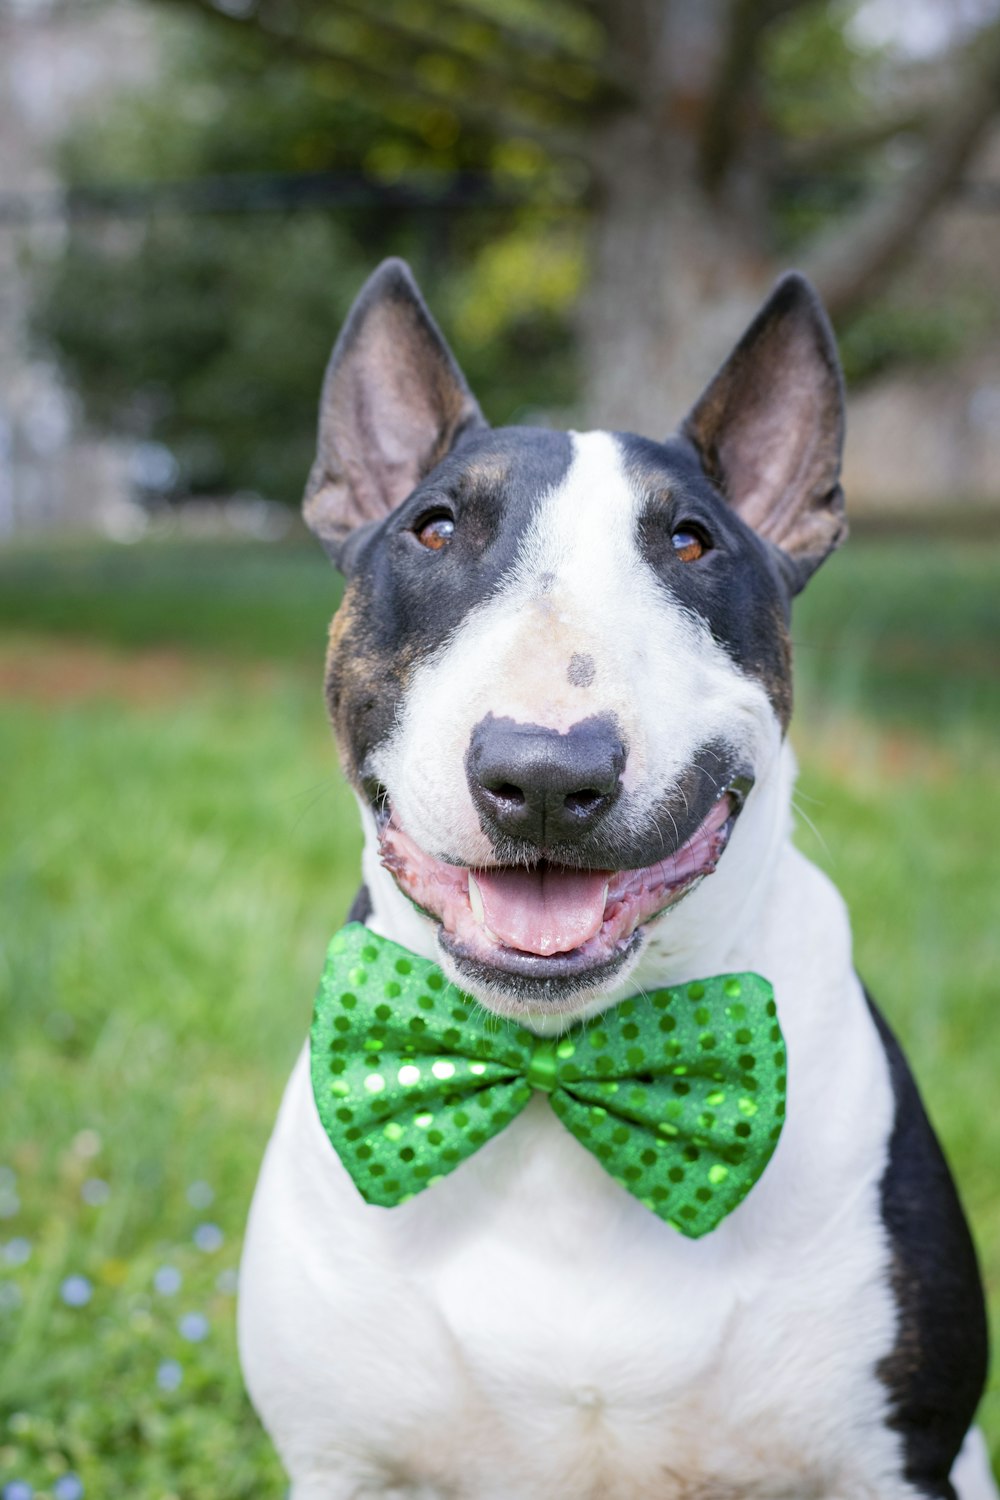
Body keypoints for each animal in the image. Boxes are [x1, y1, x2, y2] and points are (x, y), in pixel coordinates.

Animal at [238, 261, 995, 1500]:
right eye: (433, 529)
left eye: (691, 543)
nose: (545, 775)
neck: (558, 1073)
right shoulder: (344, 1462)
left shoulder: (897, 1461)